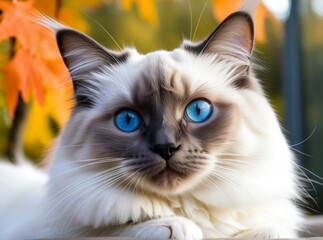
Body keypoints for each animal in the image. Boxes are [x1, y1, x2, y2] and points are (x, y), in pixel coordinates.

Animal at [0, 9, 304, 240]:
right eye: (128, 120)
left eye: (198, 110)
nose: (165, 147)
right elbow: (117, 229)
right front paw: (178, 227)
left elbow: (271, 230)